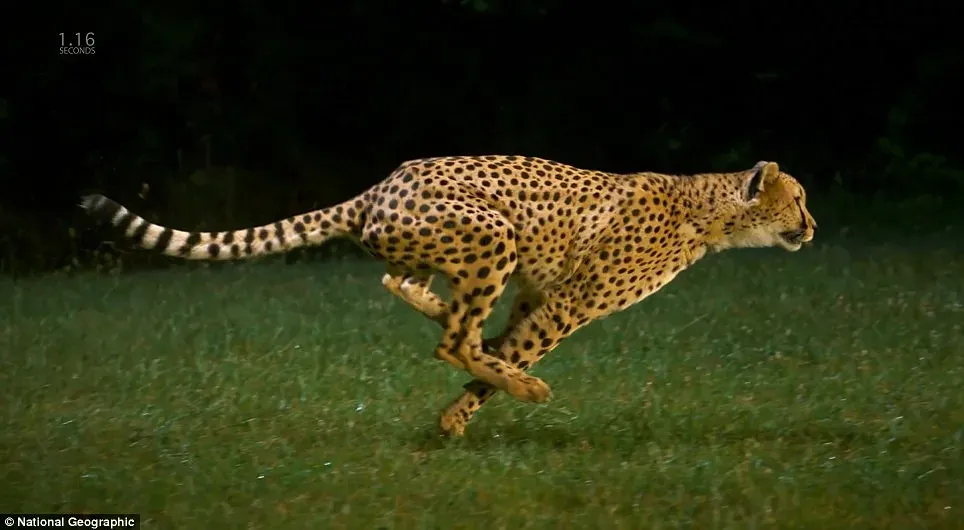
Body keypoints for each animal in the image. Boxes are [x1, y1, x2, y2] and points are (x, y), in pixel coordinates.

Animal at [80, 155, 816, 437]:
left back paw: (455, 322)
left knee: (406, 287)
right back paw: (517, 381)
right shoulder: (569, 303)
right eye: (799, 200)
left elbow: (508, 343)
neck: (710, 212)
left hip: (456, 250)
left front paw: (462, 409)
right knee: (451, 337)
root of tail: (381, 184)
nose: (811, 227)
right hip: (493, 233)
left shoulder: (536, 294)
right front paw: (466, 412)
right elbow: (518, 352)